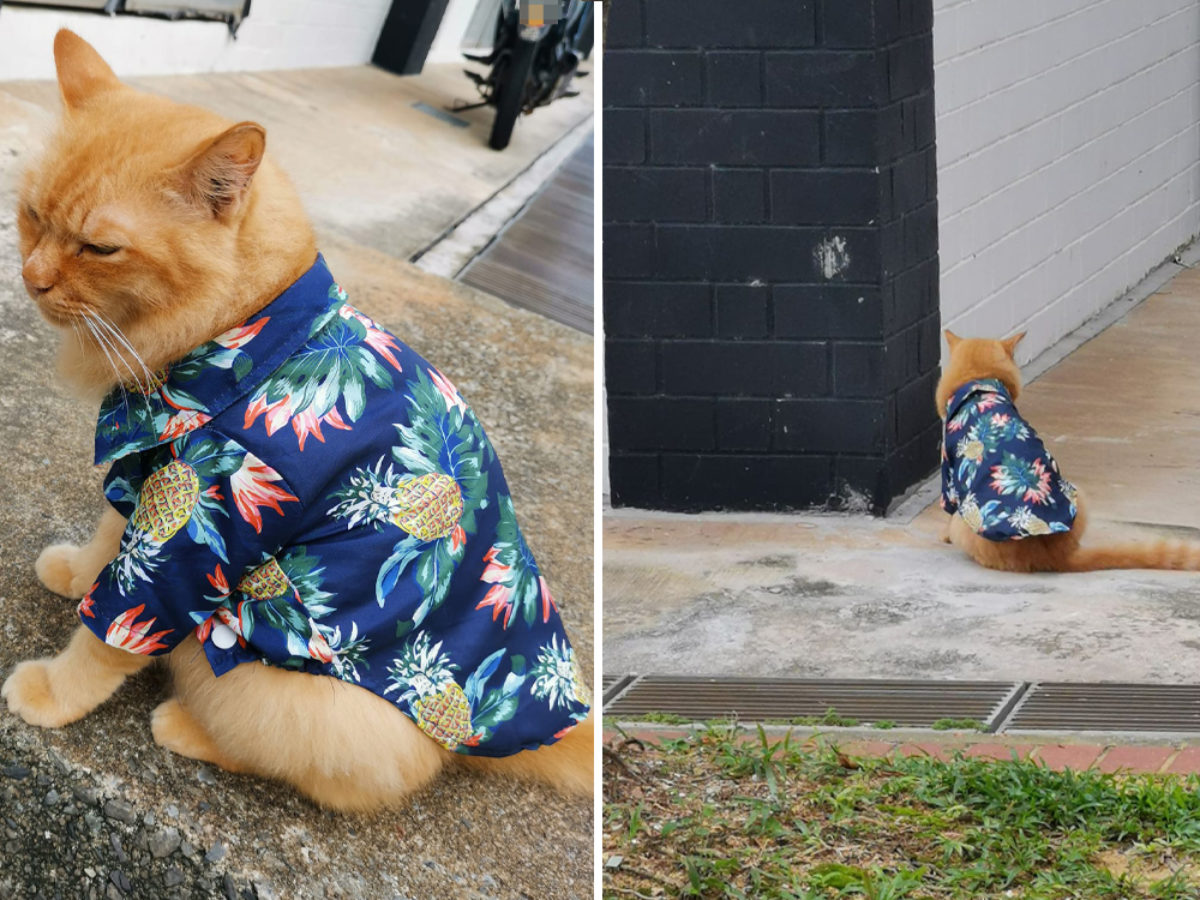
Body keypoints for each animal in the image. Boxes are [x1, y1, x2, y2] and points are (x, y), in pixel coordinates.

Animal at [0, 31, 590, 816]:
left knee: (325, 770)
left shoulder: (198, 532)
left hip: (261, 677)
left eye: (100, 249)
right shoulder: (152, 468)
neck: (253, 331)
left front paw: (53, 692)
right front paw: (78, 569)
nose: (31, 279)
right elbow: (108, 536)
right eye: (32, 214)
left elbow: (112, 634)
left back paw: (186, 728)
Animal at [936, 328, 1200, 573]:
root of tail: (1054, 555)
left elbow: (947, 508)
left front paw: (944, 536)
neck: (981, 383)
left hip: (965, 522)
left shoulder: (949, 476)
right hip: (1079, 494)